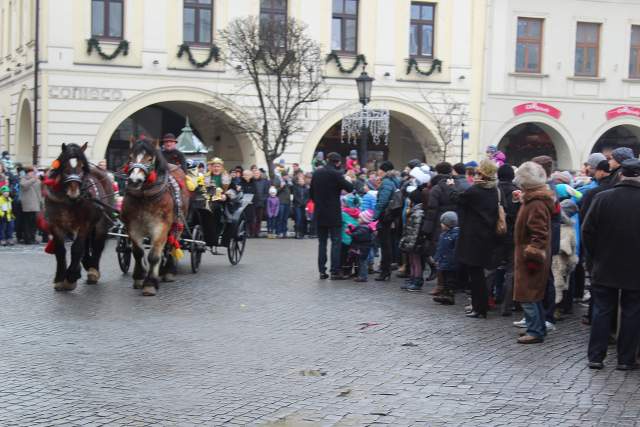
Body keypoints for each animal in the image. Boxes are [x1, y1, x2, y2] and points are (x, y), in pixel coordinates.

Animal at [43, 142, 115, 292]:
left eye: (82, 166)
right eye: (64, 166)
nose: (74, 192)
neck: (67, 201)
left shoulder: (84, 224)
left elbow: (76, 248)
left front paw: (70, 277)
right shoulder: (55, 224)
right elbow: (60, 250)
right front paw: (60, 278)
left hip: (101, 222)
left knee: (97, 245)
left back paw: (93, 271)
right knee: (86, 245)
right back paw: (86, 264)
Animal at [120, 138, 189, 298]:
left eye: (150, 159)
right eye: (130, 157)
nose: (134, 180)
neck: (144, 198)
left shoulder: (160, 227)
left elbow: (153, 255)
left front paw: (150, 283)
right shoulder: (133, 227)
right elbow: (138, 253)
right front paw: (139, 277)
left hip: (177, 224)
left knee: (170, 246)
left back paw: (168, 271)